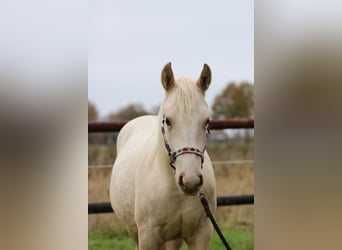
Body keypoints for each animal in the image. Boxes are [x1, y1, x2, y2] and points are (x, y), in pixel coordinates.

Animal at [109, 62, 216, 250]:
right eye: (168, 121)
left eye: (206, 121)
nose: (190, 182)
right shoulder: (148, 236)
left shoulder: (202, 234)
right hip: (134, 231)